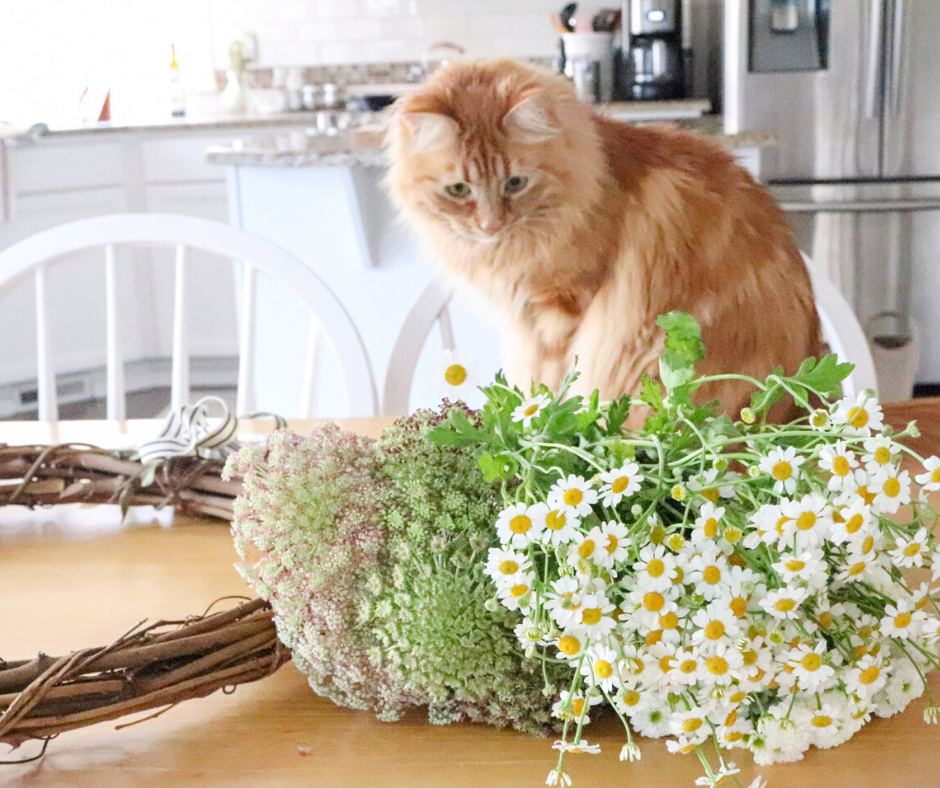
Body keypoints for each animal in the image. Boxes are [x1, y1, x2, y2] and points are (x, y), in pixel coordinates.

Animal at [386, 56, 820, 416]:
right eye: (459, 190)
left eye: (515, 183)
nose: (490, 225)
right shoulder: (524, 321)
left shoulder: (560, 311)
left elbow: (547, 385)